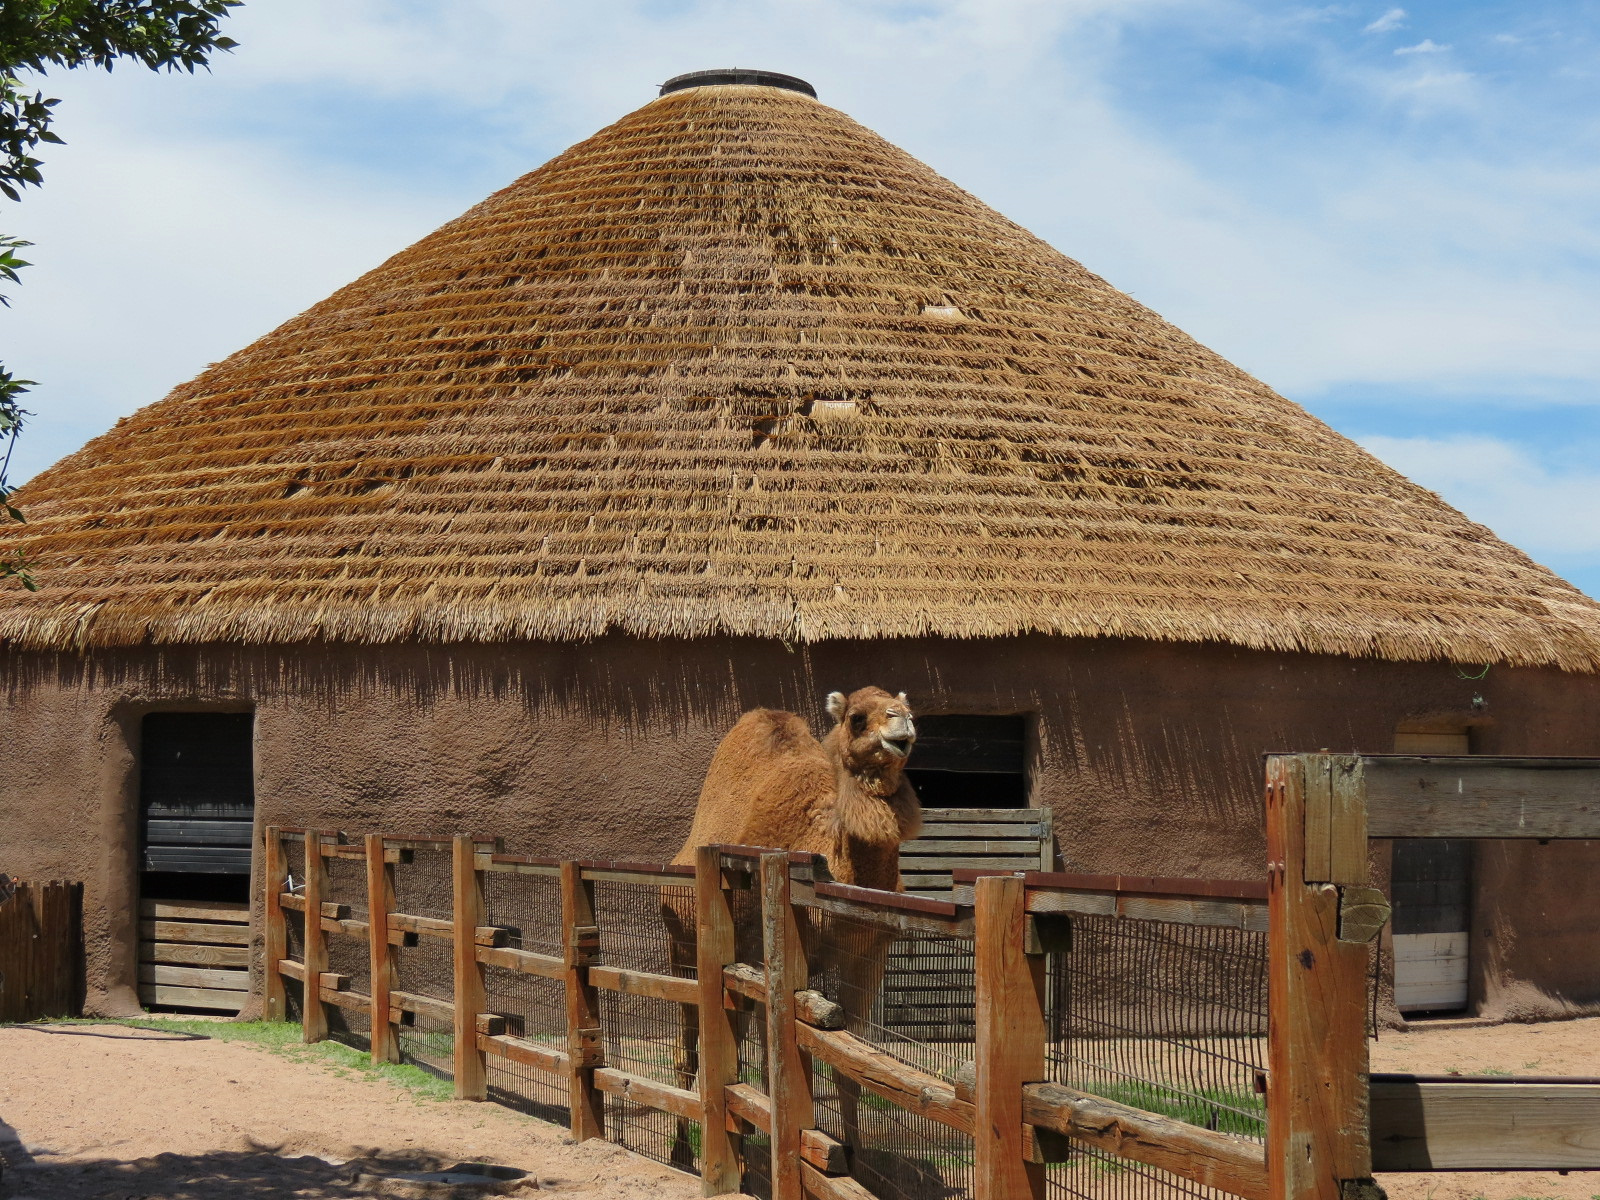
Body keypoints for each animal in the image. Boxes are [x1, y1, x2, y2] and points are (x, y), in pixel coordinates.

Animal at [663, 686, 921, 1165]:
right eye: (858, 717)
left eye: (909, 709)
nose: (903, 724)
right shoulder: (768, 957)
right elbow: (774, 1065)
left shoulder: (867, 954)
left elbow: (849, 1061)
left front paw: (856, 1157)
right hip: (684, 952)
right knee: (689, 1048)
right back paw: (683, 1152)